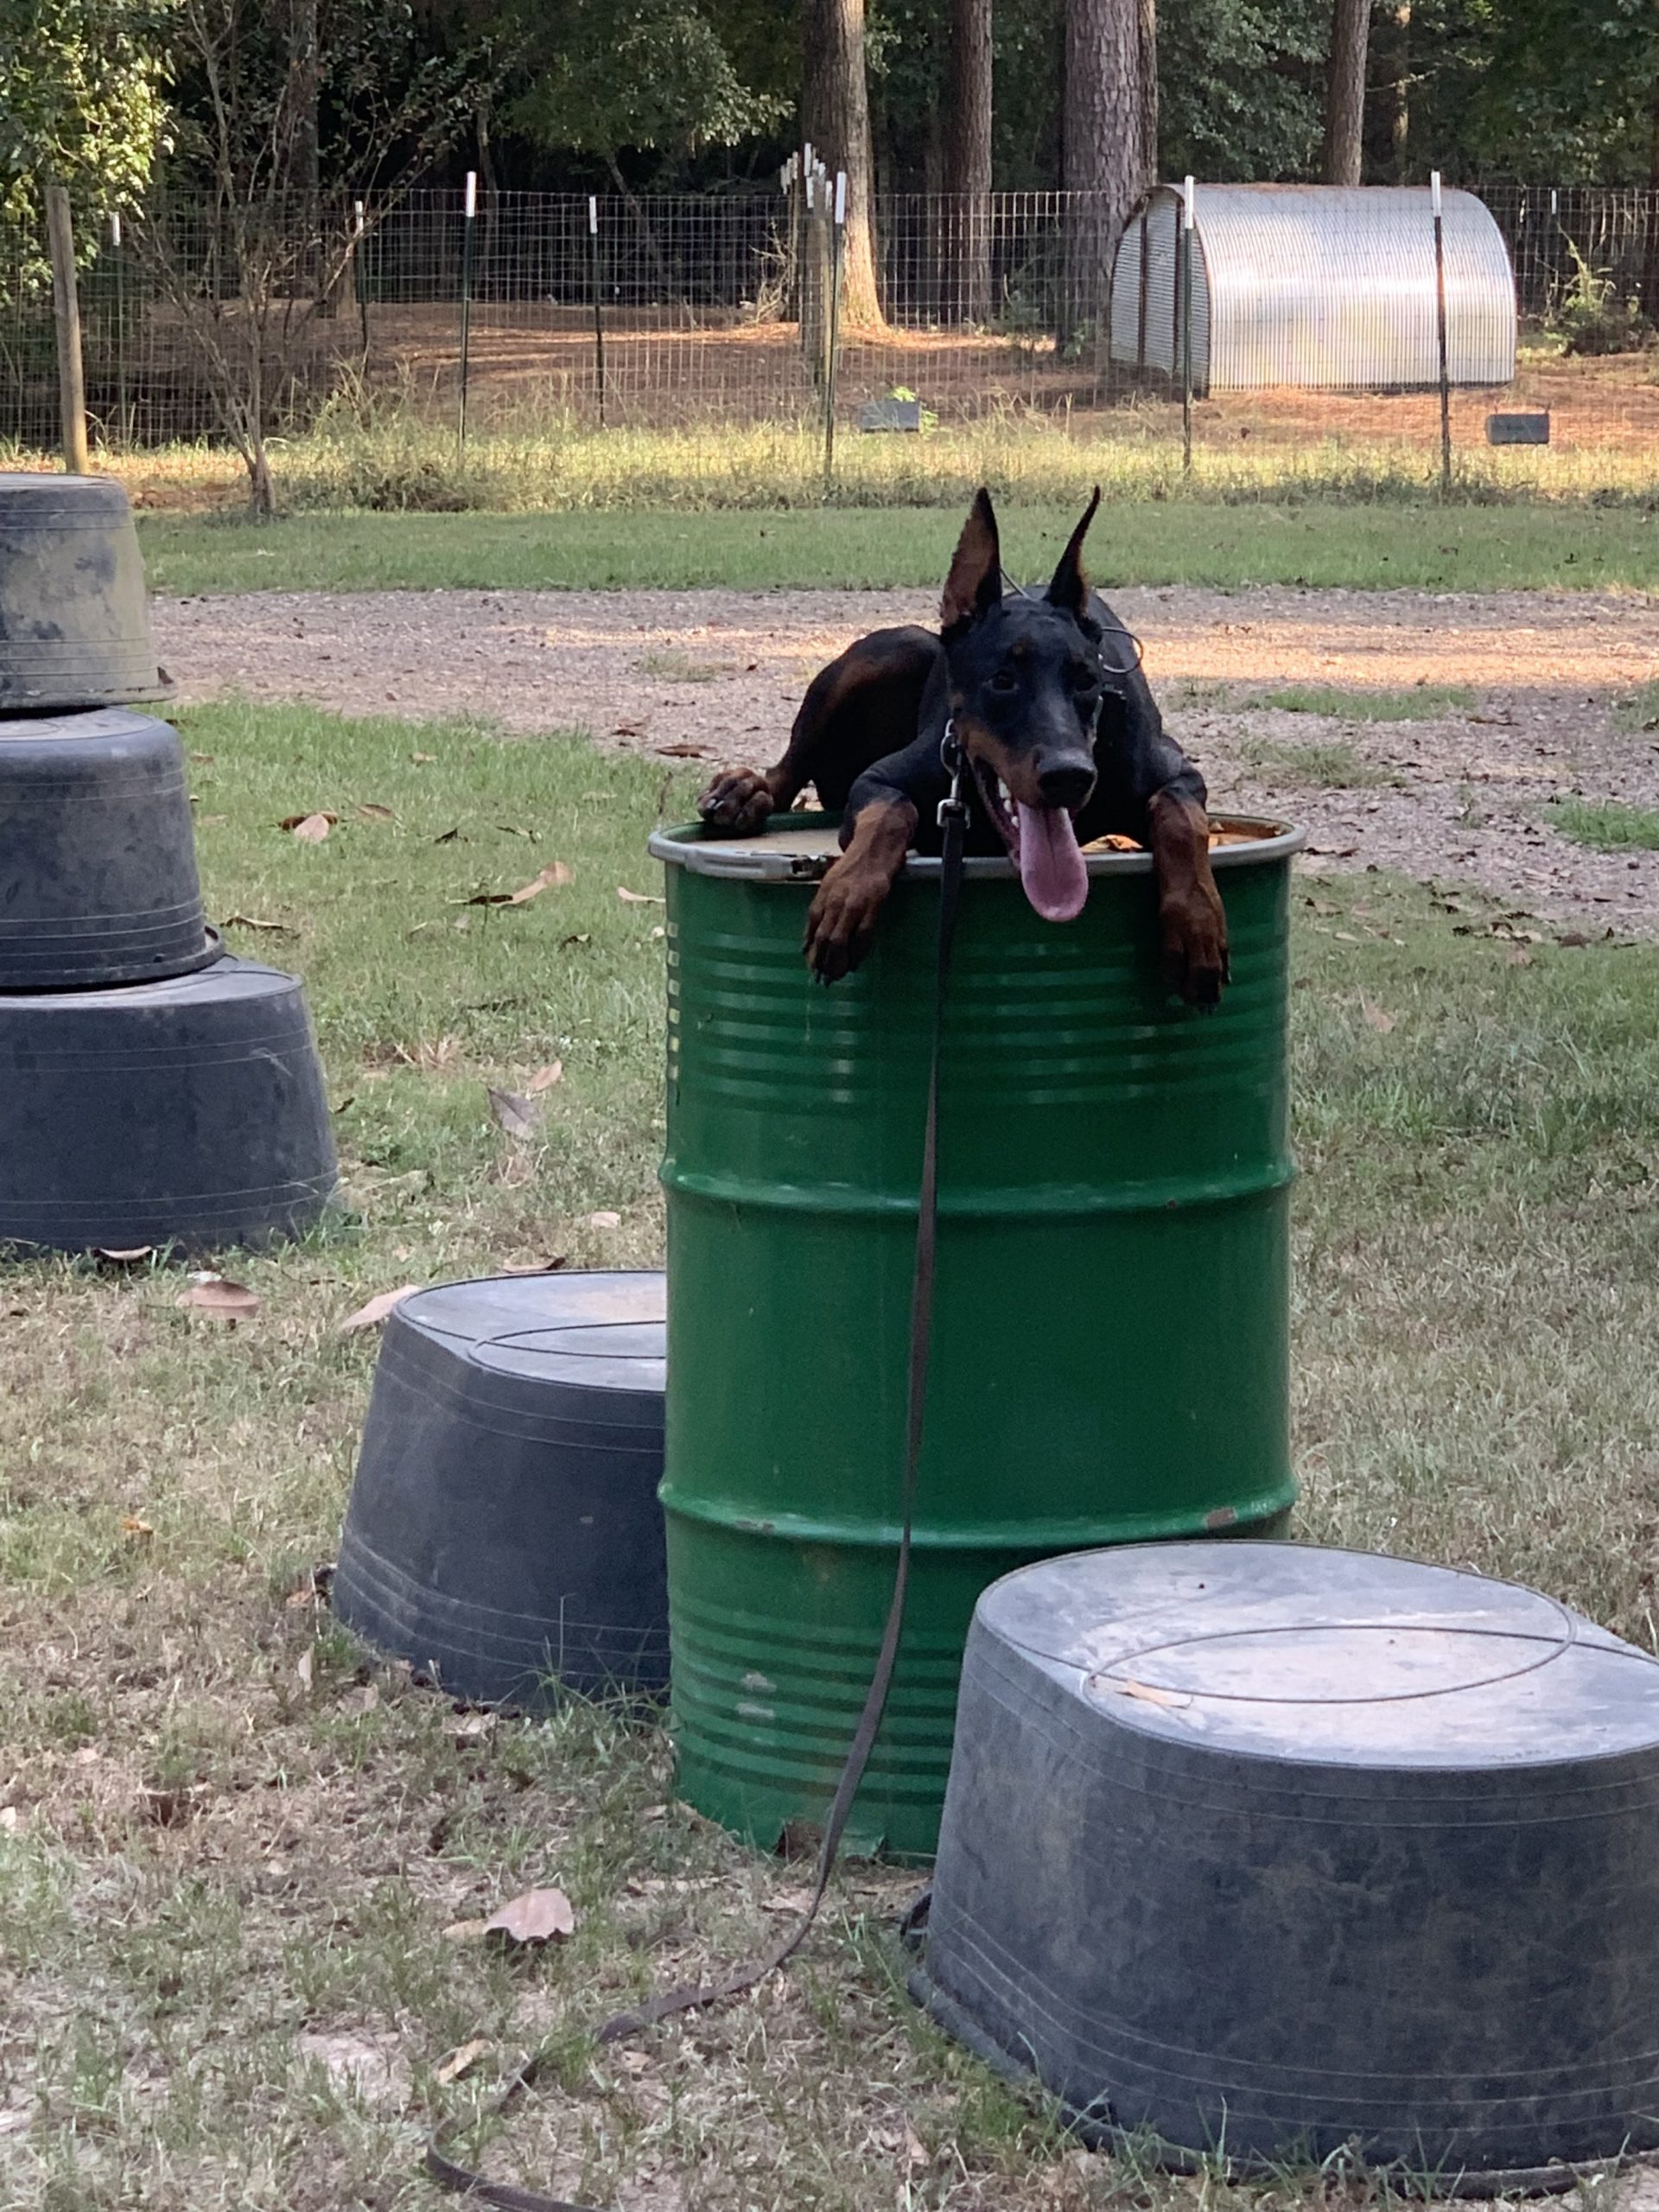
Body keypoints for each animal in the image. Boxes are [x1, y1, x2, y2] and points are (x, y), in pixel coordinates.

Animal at [694, 488, 1230, 1008]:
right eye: (1002, 680)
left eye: (1087, 681)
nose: (1070, 775)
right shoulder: (881, 779)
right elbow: (889, 813)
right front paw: (846, 895)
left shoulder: (1175, 770)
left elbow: (1181, 816)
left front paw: (1198, 925)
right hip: (896, 649)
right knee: (789, 768)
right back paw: (743, 792)